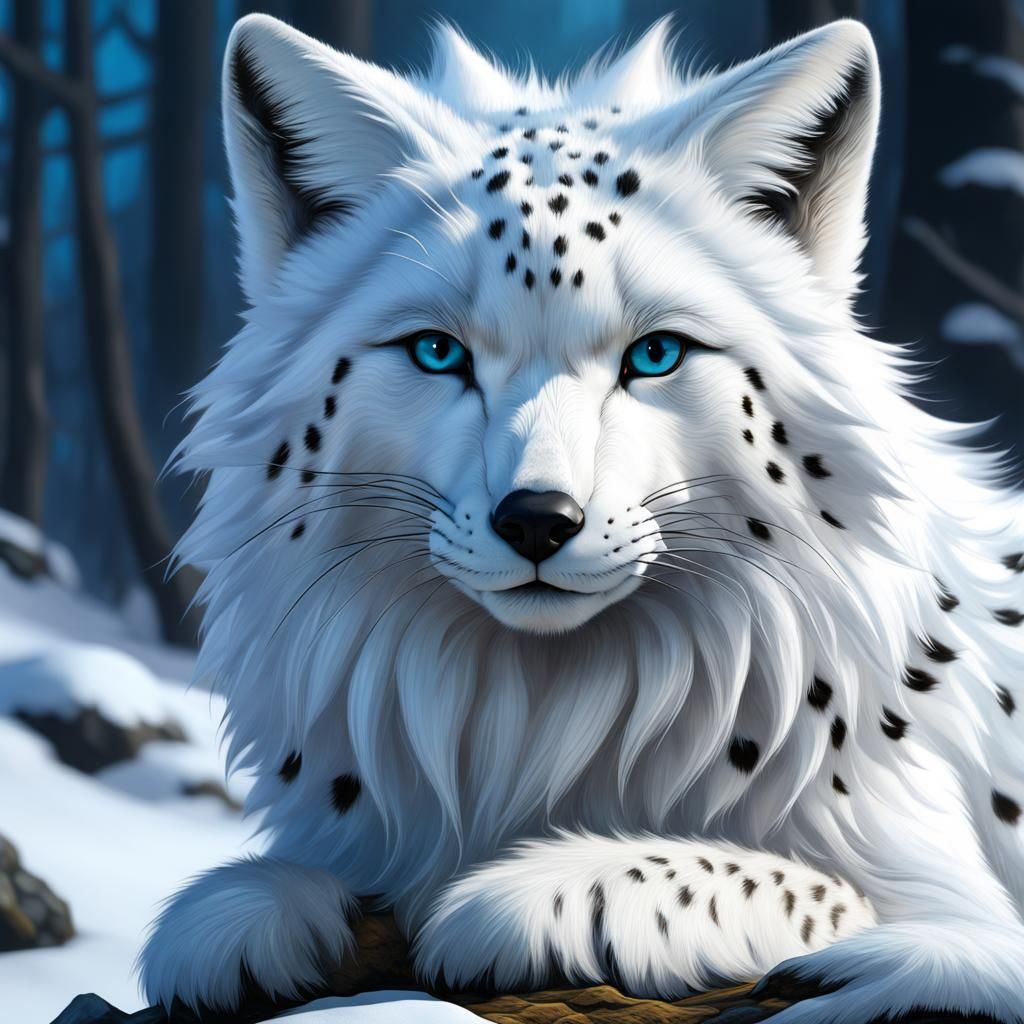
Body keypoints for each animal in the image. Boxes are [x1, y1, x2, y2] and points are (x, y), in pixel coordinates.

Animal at [139, 14, 1024, 1023]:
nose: (537, 520)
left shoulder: (967, 914)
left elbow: (766, 879)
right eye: (437, 353)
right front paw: (246, 914)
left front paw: (523, 895)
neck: (542, 726)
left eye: (657, 355)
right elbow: (253, 892)